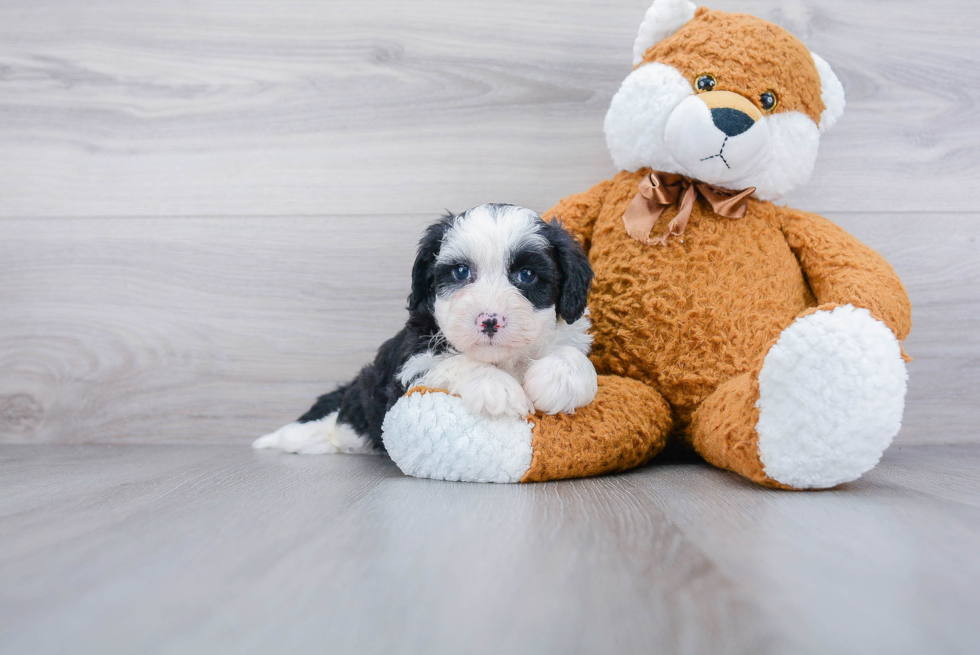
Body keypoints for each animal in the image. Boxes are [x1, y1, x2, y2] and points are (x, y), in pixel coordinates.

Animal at [253, 205, 596, 456]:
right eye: (460, 272)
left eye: (526, 274)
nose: (489, 320)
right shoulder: (410, 366)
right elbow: (454, 361)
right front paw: (496, 387)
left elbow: (572, 353)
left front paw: (560, 379)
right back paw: (276, 439)